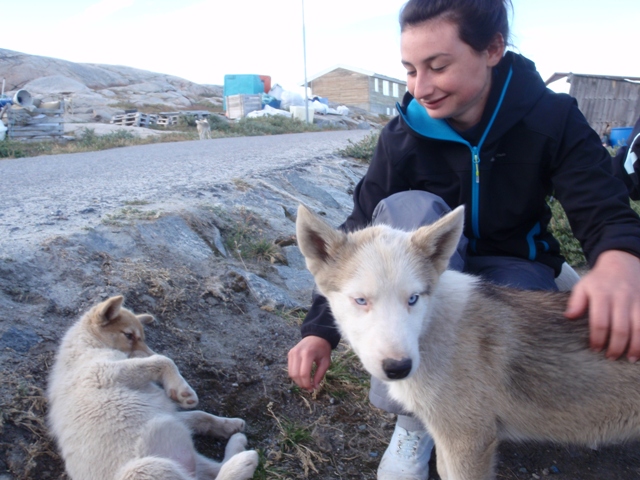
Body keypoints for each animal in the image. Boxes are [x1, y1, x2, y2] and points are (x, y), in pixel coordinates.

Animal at [46, 296, 258, 480]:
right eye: (129, 335)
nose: (149, 352)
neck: (88, 346)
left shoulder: (164, 409)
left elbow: (200, 416)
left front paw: (227, 424)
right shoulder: (106, 372)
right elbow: (163, 360)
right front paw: (181, 389)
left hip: (187, 461)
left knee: (215, 468)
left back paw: (237, 444)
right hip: (145, 468)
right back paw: (243, 461)